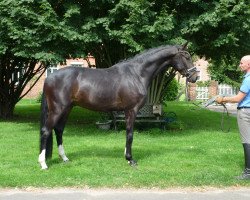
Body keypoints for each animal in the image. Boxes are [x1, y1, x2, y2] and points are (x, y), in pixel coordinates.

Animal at [38, 43, 197, 169]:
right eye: (187, 56)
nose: (195, 77)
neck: (137, 73)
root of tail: (49, 77)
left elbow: (127, 133)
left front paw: (126, 156)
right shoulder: (132, 110)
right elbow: (130, 134)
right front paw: (130, 159)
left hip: (67, 109)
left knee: (58, 130)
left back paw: (64, 158)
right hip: (58, 109)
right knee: (46, 130)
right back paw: (43, 163)